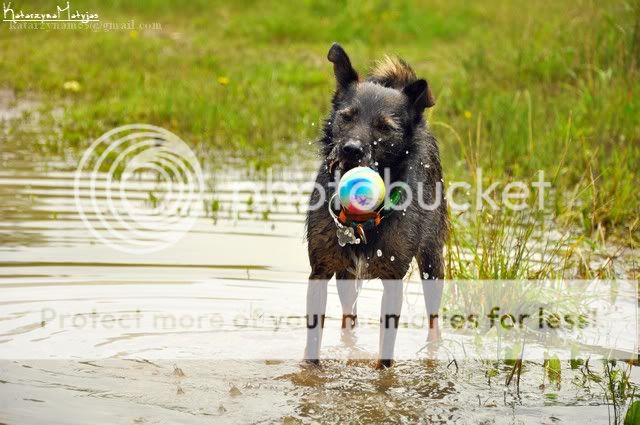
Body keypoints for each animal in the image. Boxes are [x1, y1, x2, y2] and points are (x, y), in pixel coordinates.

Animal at [304, 43, 449, 368]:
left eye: (384, 126)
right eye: (347, 116)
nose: (351, 150)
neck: (363, 218)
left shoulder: (393, 278)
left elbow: (386, 353)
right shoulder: (320, 271)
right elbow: (313, 342)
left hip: (432, 262)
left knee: (434, 320)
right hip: (346, 277)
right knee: (349, 318)